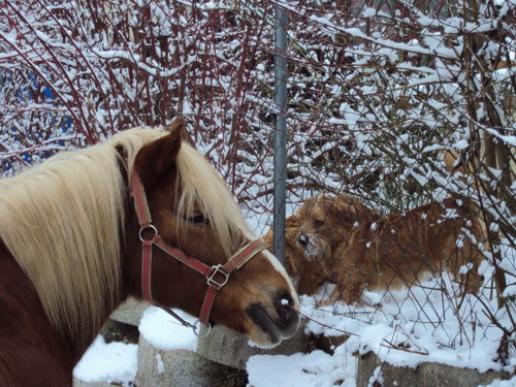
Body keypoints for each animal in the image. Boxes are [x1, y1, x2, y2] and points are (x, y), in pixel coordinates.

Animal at [282, 196, 488, 304]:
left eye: (318, 221)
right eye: (301, 220)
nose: (302, 240)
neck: (344, 237)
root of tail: (462, 202)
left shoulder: (352, 282)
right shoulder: (343, 280)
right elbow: (331, 298)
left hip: (460, 260)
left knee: (473, 284)